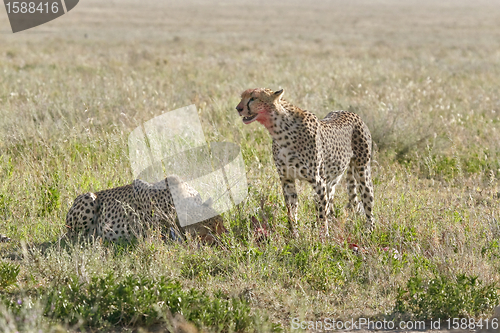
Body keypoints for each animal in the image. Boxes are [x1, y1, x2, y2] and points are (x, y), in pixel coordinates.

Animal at [236, 88, 374, 236]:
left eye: (253, 98)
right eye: (242, 97)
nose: (238, 108)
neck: (279, 130)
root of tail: (350, 112)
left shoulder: (318, 180)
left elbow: (321, 212)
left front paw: (323, 236)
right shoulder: (287, 178)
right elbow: (291, 208)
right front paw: (294, 234)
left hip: (362, 171)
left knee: (368, 201)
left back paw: (369, 231)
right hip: (332, 179)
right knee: (331, 202)